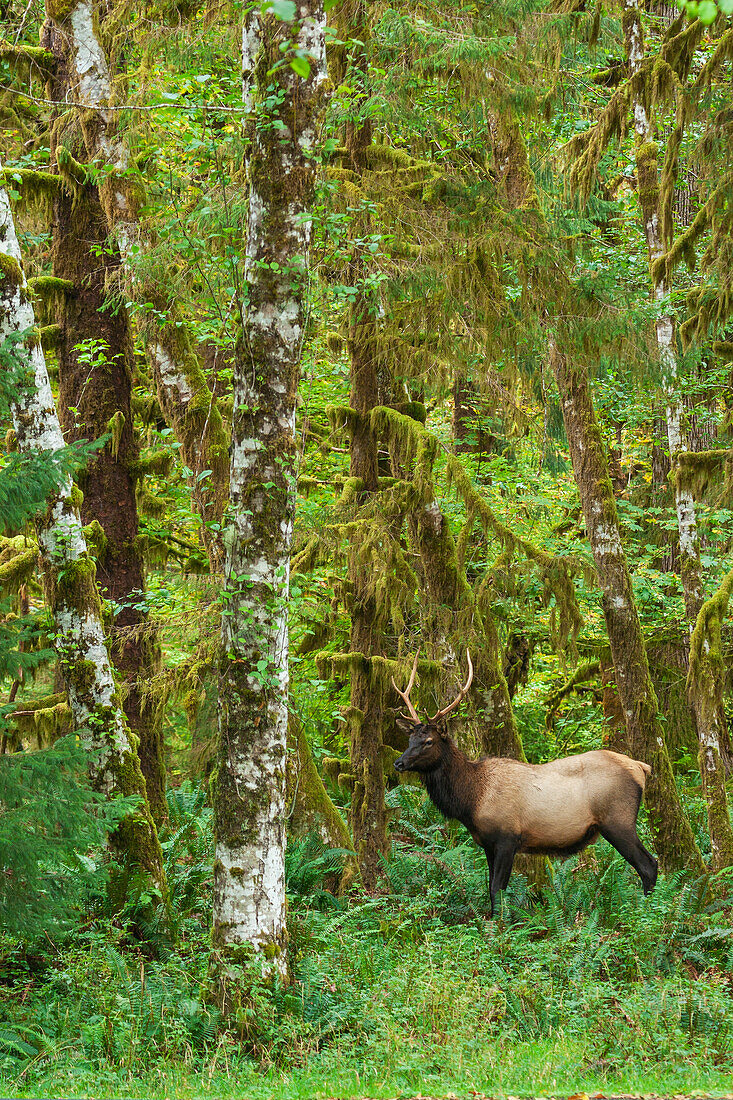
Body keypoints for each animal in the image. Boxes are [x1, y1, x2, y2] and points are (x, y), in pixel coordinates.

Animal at [391, 646, 660, 915]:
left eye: (429, 741)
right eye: (410, 739)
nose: (398, 763)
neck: (472, 800)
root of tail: (641, 767)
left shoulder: (507, 838)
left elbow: (497, 889)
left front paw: (501, 923)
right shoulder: (488, 843)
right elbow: (492, 887)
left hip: (618, 820)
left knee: (649, 865)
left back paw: (648, 913)